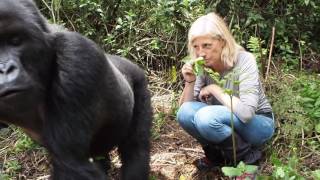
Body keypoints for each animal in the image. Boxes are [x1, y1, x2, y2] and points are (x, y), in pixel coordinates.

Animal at [0, 0, 152, 179]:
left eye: (16, 41)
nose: (5, 70)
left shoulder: (76, 57)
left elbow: (72, 166)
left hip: (138, 79)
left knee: (136, 147)